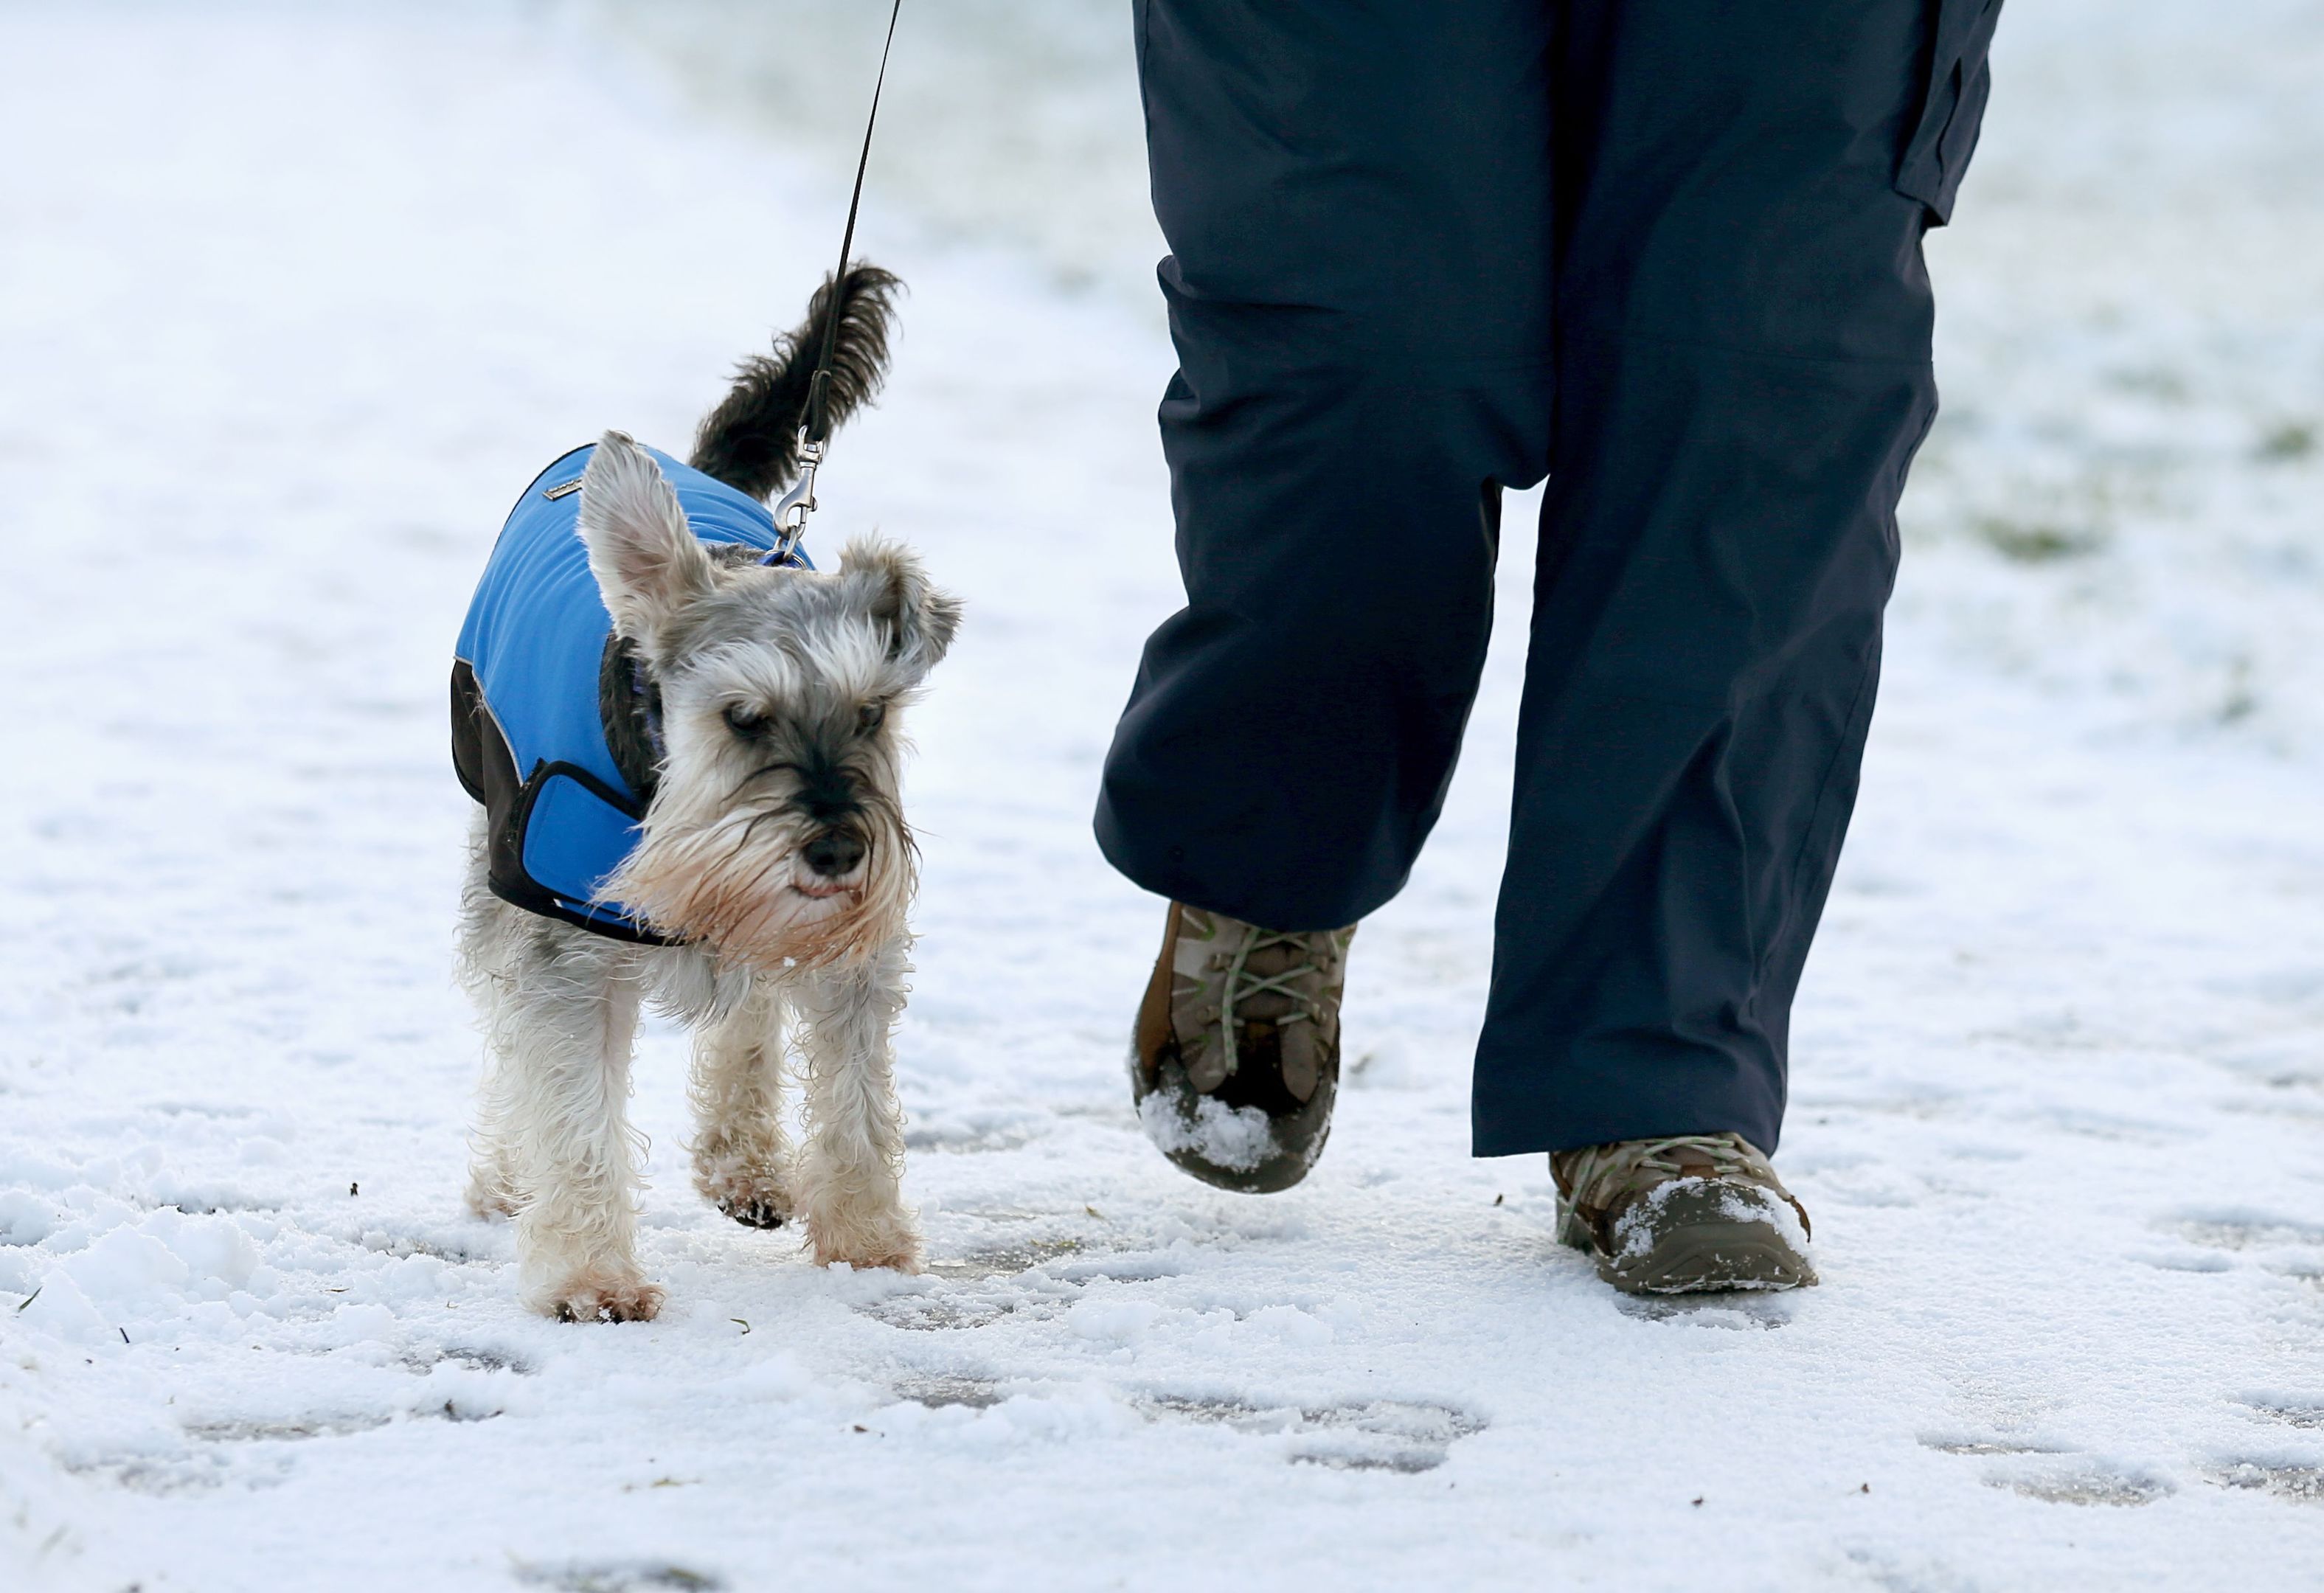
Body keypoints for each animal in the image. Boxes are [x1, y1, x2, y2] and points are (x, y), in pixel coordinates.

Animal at [443, 269, 952, 1321]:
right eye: (742, 716)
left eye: (873, 712)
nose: (837, 849)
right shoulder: (562, 951)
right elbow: (570, 1106)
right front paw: (589, 1278)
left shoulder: (847, 949)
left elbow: (855, 1104)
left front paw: (868, 1246)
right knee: (507, 1037)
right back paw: (507, 1179)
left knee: (749, 1016)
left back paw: (744, 1165)